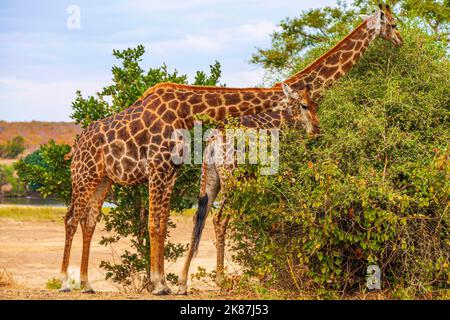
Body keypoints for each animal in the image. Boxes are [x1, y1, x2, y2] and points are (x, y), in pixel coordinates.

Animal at [177, 4, 404, 296]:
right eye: (394, 24)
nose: (401, 41)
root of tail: (214, 142)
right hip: (234, 179)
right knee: (220, 219)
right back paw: (220, 280)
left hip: (211, 179)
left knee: (200, 218)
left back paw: (182, 281)